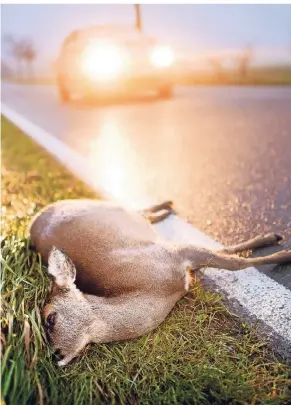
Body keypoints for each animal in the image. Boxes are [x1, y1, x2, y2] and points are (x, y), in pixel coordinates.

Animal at [30, 197, 291, 364]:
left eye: (50, 318)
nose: (54, 356)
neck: (157, 290)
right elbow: (227, 255)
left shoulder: (174, 253)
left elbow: (235, 261)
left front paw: (281, 251)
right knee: (141, 212)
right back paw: (167, 208)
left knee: (136, 208)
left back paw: (167, 205)